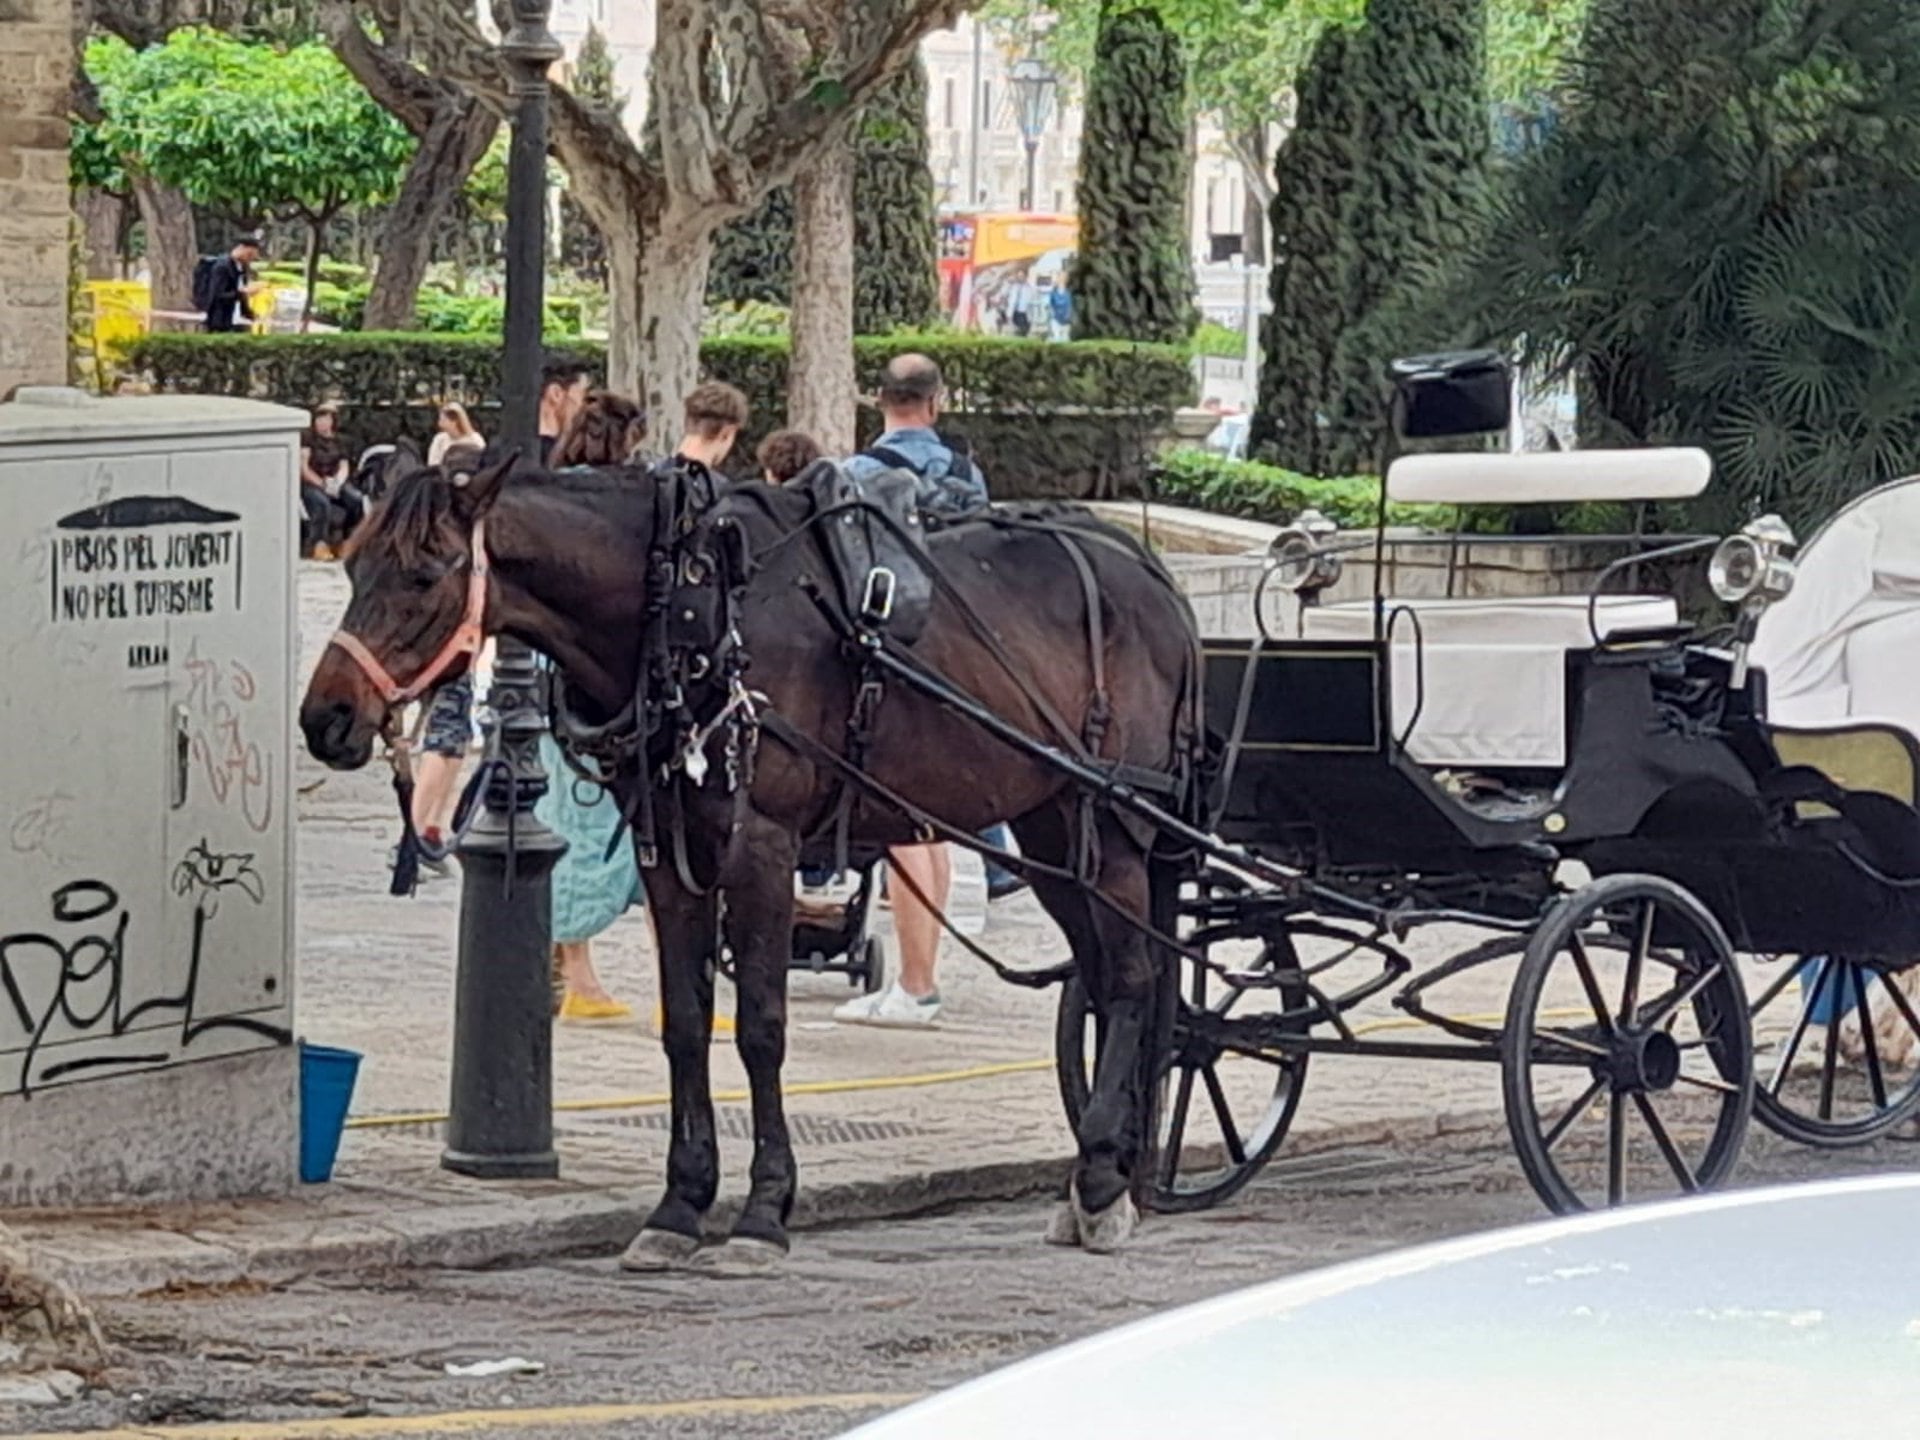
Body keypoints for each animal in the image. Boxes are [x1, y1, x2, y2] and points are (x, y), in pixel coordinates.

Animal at [299, 462, 1198, 1274]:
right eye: (351, 565)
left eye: (423, 574)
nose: (326, 717)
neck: (687, 606)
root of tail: (1150, 569)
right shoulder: (671, 852)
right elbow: (687, 1025)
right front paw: (679, 1203)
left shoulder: (762, 846)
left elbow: (763, 1027)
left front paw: (765, 1210)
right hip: (1053, 828)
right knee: (1108, 976)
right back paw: (1106, 1171)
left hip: (1111, 826)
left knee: (1129, 978)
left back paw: (1101, 1184)